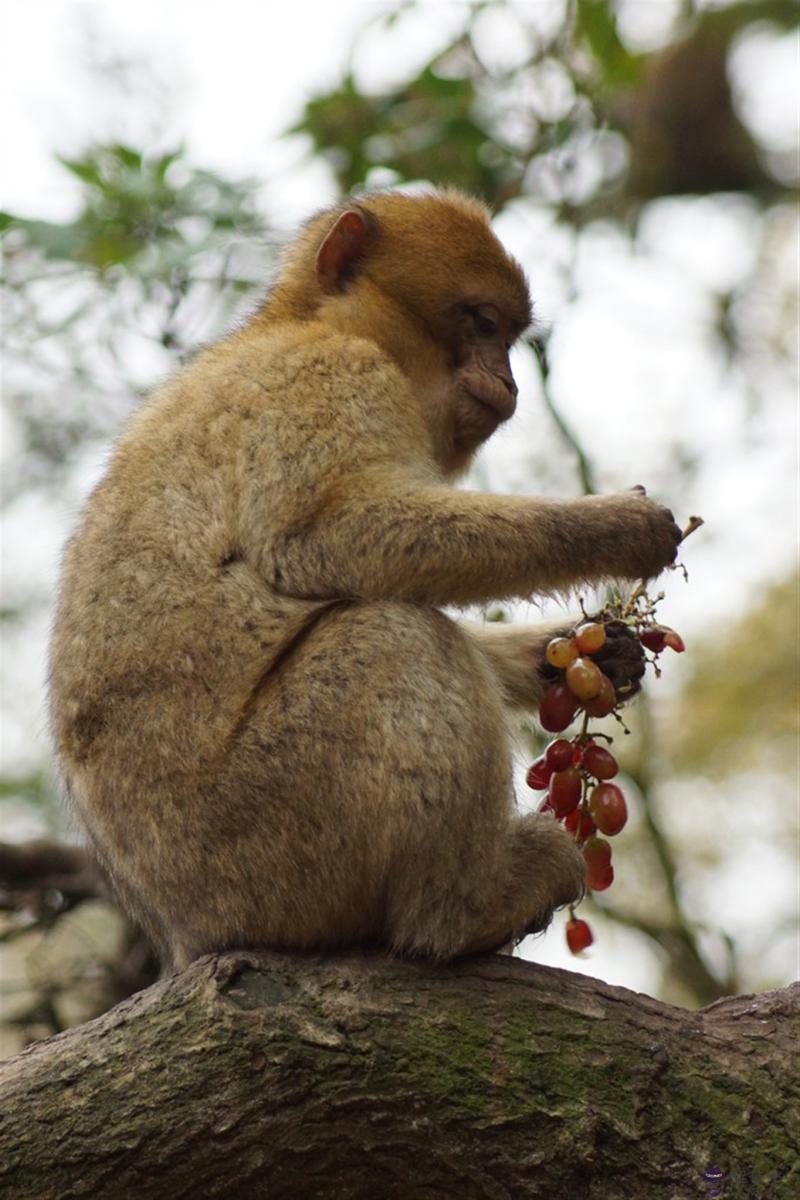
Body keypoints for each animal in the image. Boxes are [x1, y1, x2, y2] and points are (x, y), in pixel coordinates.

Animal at [47, 189, 681, 974]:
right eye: (483, 324)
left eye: (507, 336)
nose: (509, 382)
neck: (312, 321)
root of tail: (191, 929)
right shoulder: (335, 377)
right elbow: (326, 538)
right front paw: (616, 528)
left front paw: (582, 653)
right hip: (269, 839)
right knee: (392, 632)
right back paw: (462, 911)